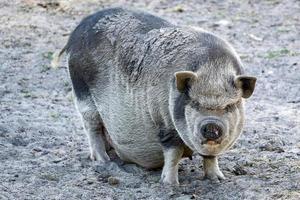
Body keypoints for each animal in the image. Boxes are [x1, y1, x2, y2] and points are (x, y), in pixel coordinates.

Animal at [54, 7, 255, 186]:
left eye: (229, 105)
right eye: (195, 103)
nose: (211, 125)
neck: (214, 68)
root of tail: (78, 30)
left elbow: (210, 157)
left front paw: (219, 180)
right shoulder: (164, 123)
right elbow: (173, 153)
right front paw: (170, 185)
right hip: (81, 91)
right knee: (92, 126)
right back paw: (103, 161)